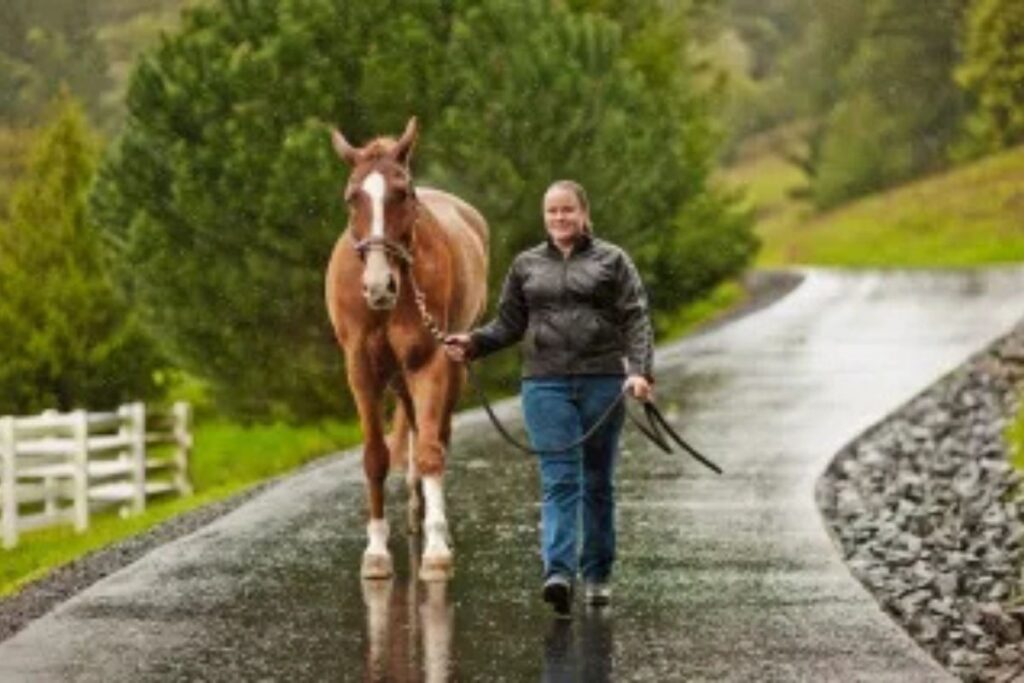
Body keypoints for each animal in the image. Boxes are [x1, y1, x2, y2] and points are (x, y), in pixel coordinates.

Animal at [325, 117, 489, 581]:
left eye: (403, 193)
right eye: (352, 197)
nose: (379, 286)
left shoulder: (430, 362)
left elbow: (433, 451)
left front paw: (435, 551)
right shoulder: (361, 369)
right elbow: (375, 457)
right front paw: (377, 552)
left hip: (450, 366)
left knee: (437, 434)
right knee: (414, 426)